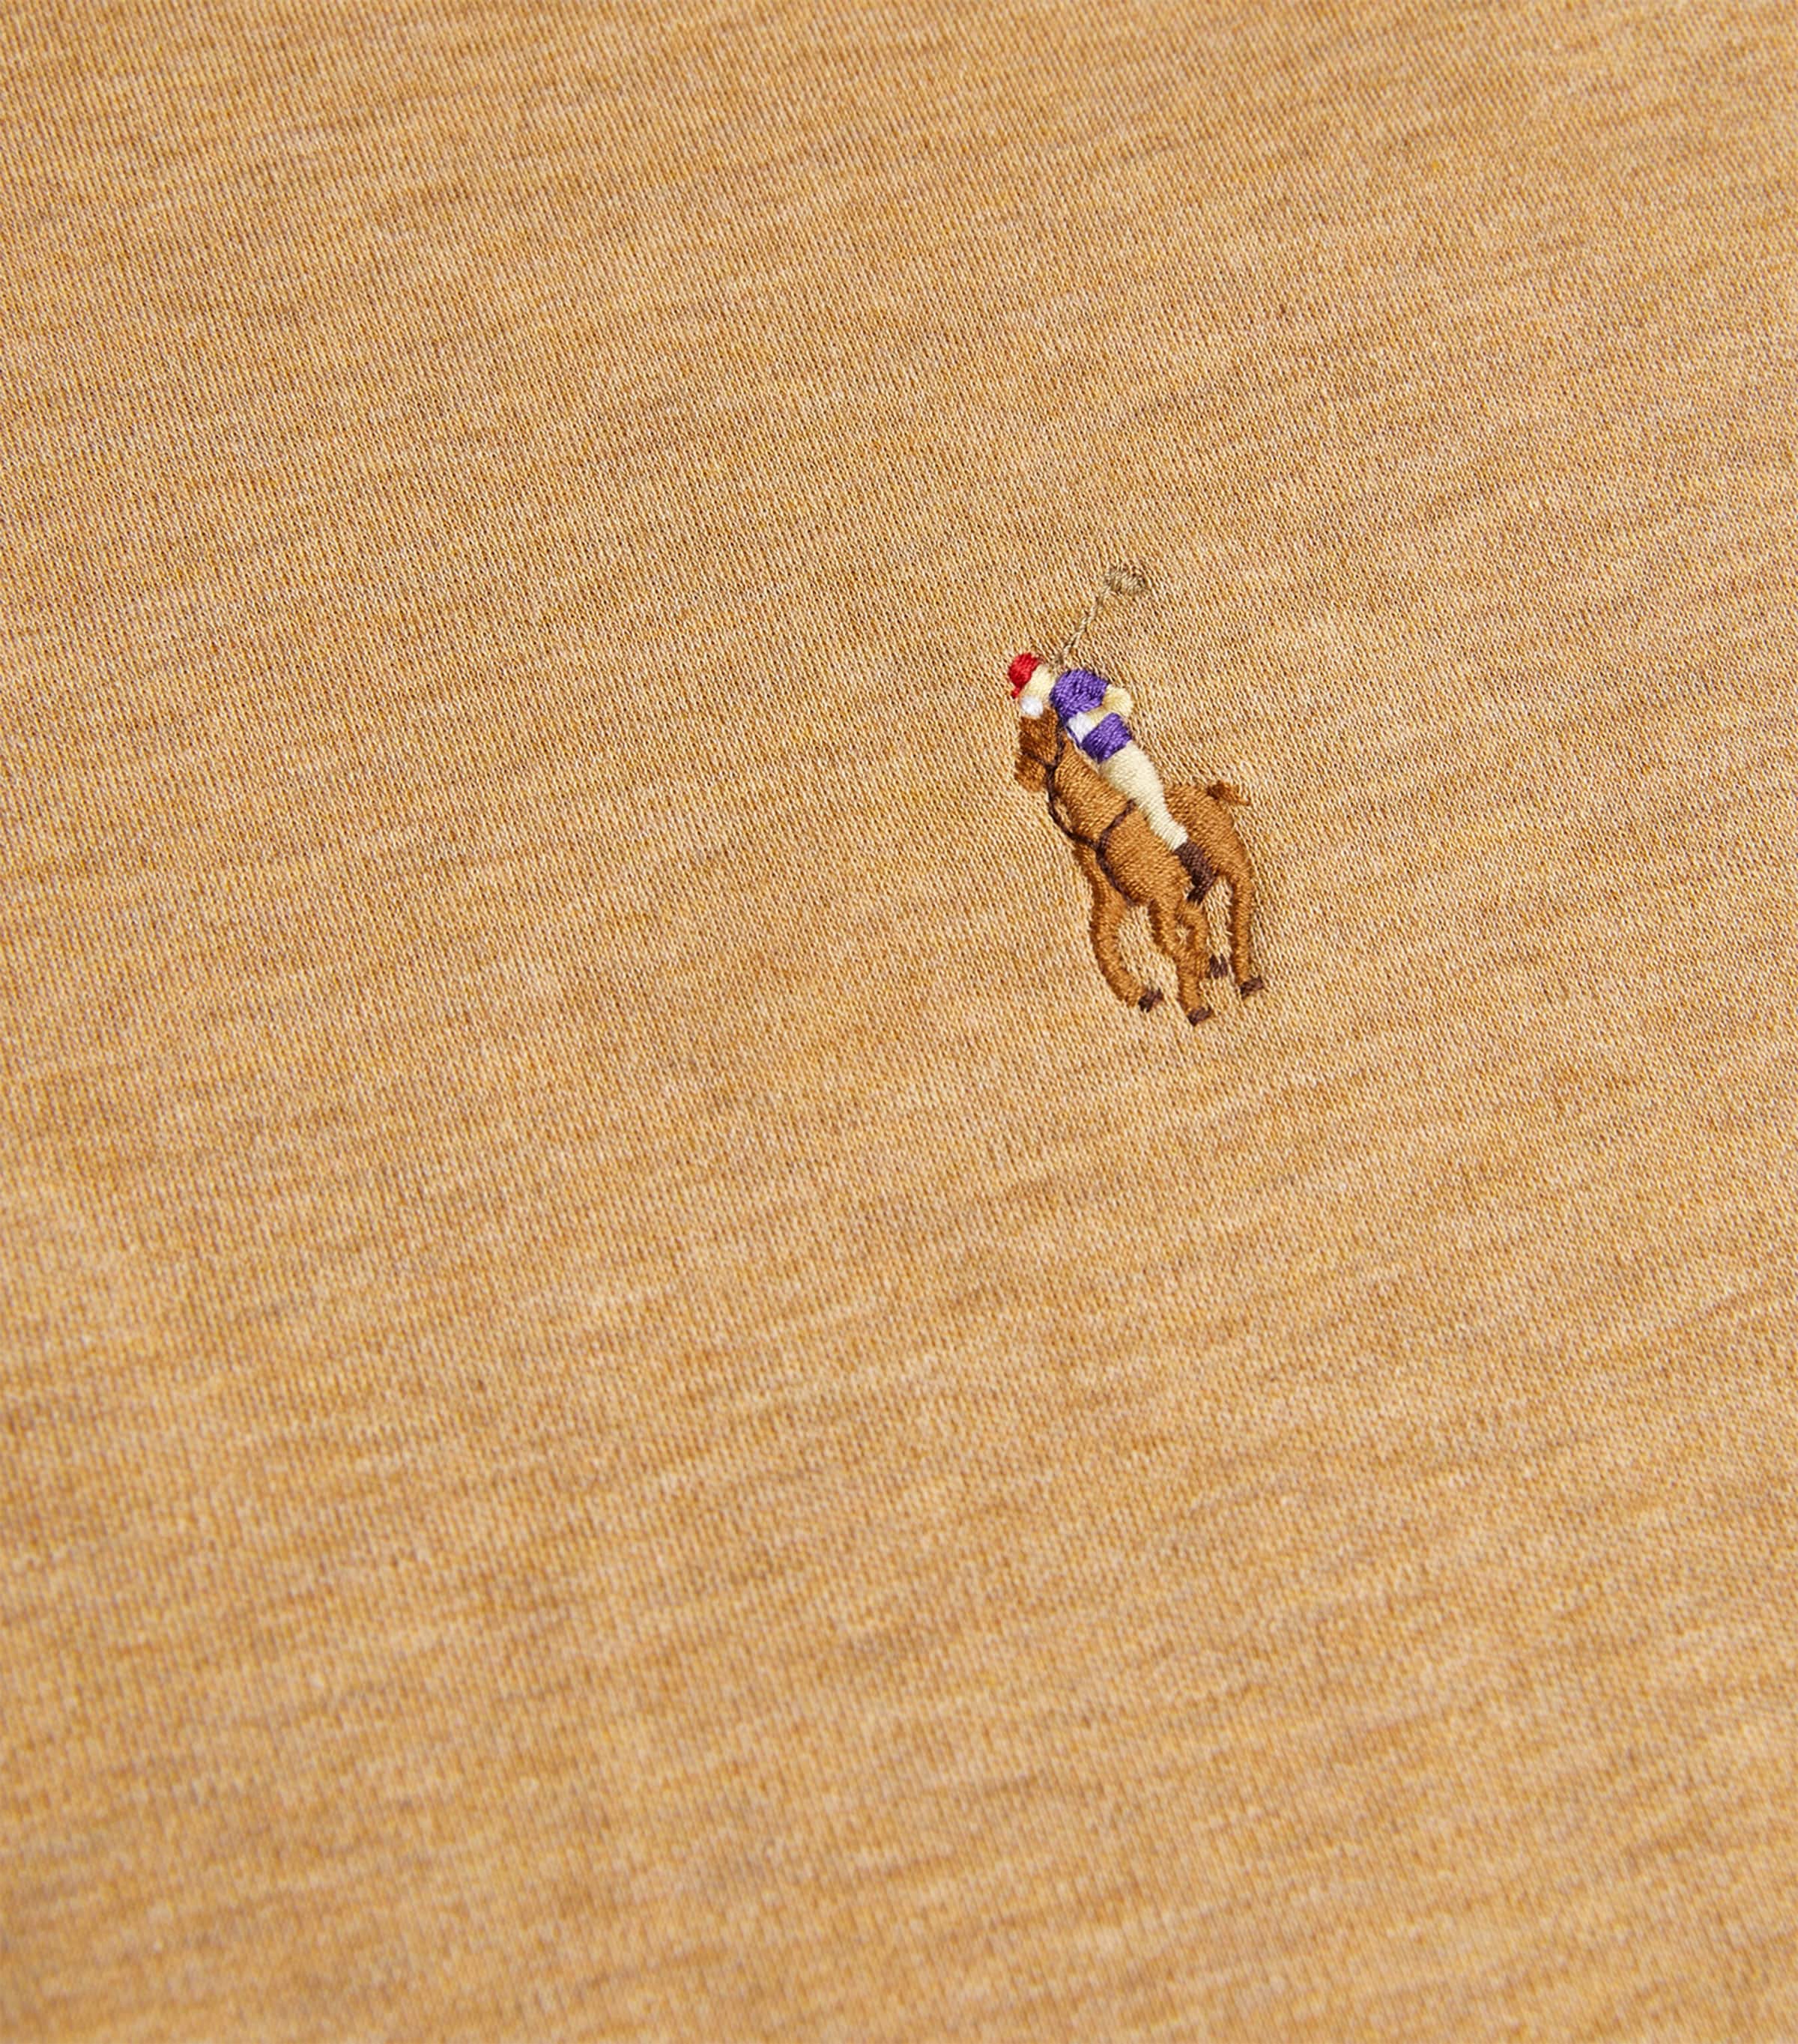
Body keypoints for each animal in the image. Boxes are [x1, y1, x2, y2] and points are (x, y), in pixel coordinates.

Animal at [1014, 709, 1263, 1023]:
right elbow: (1105, 939)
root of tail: (1209, 791)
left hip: (1230, 860)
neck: (1100, 821)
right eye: (1022, 739)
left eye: (1034, 741)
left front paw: (1201, 987)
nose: (1021, 777)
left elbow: (1170, 941)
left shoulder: (1162, 892)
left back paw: (1246, 980)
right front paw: (1150, 993)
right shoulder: (1119, 900)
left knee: (1240, 908)